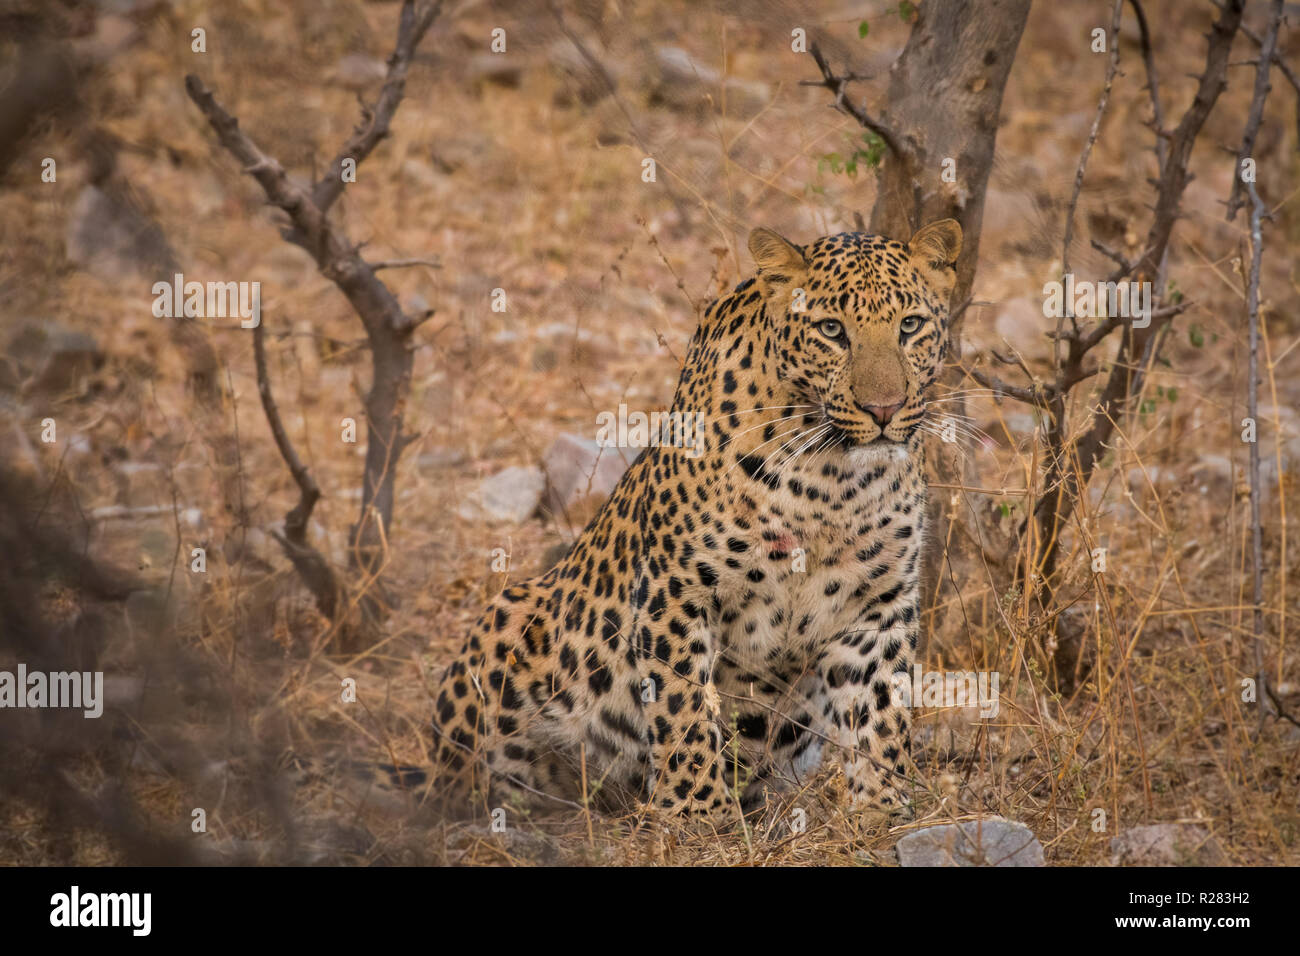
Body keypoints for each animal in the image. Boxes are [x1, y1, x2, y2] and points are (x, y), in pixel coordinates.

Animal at [428, 218, 967, 822]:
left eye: (910, 326)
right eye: (832, 330)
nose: (884, 410)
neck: (832, 482)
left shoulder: (879, 602)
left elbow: (879, 709)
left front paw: (882, 808)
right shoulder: (676, 589)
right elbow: (682, 705)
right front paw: (697, 814)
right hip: (510, 619)